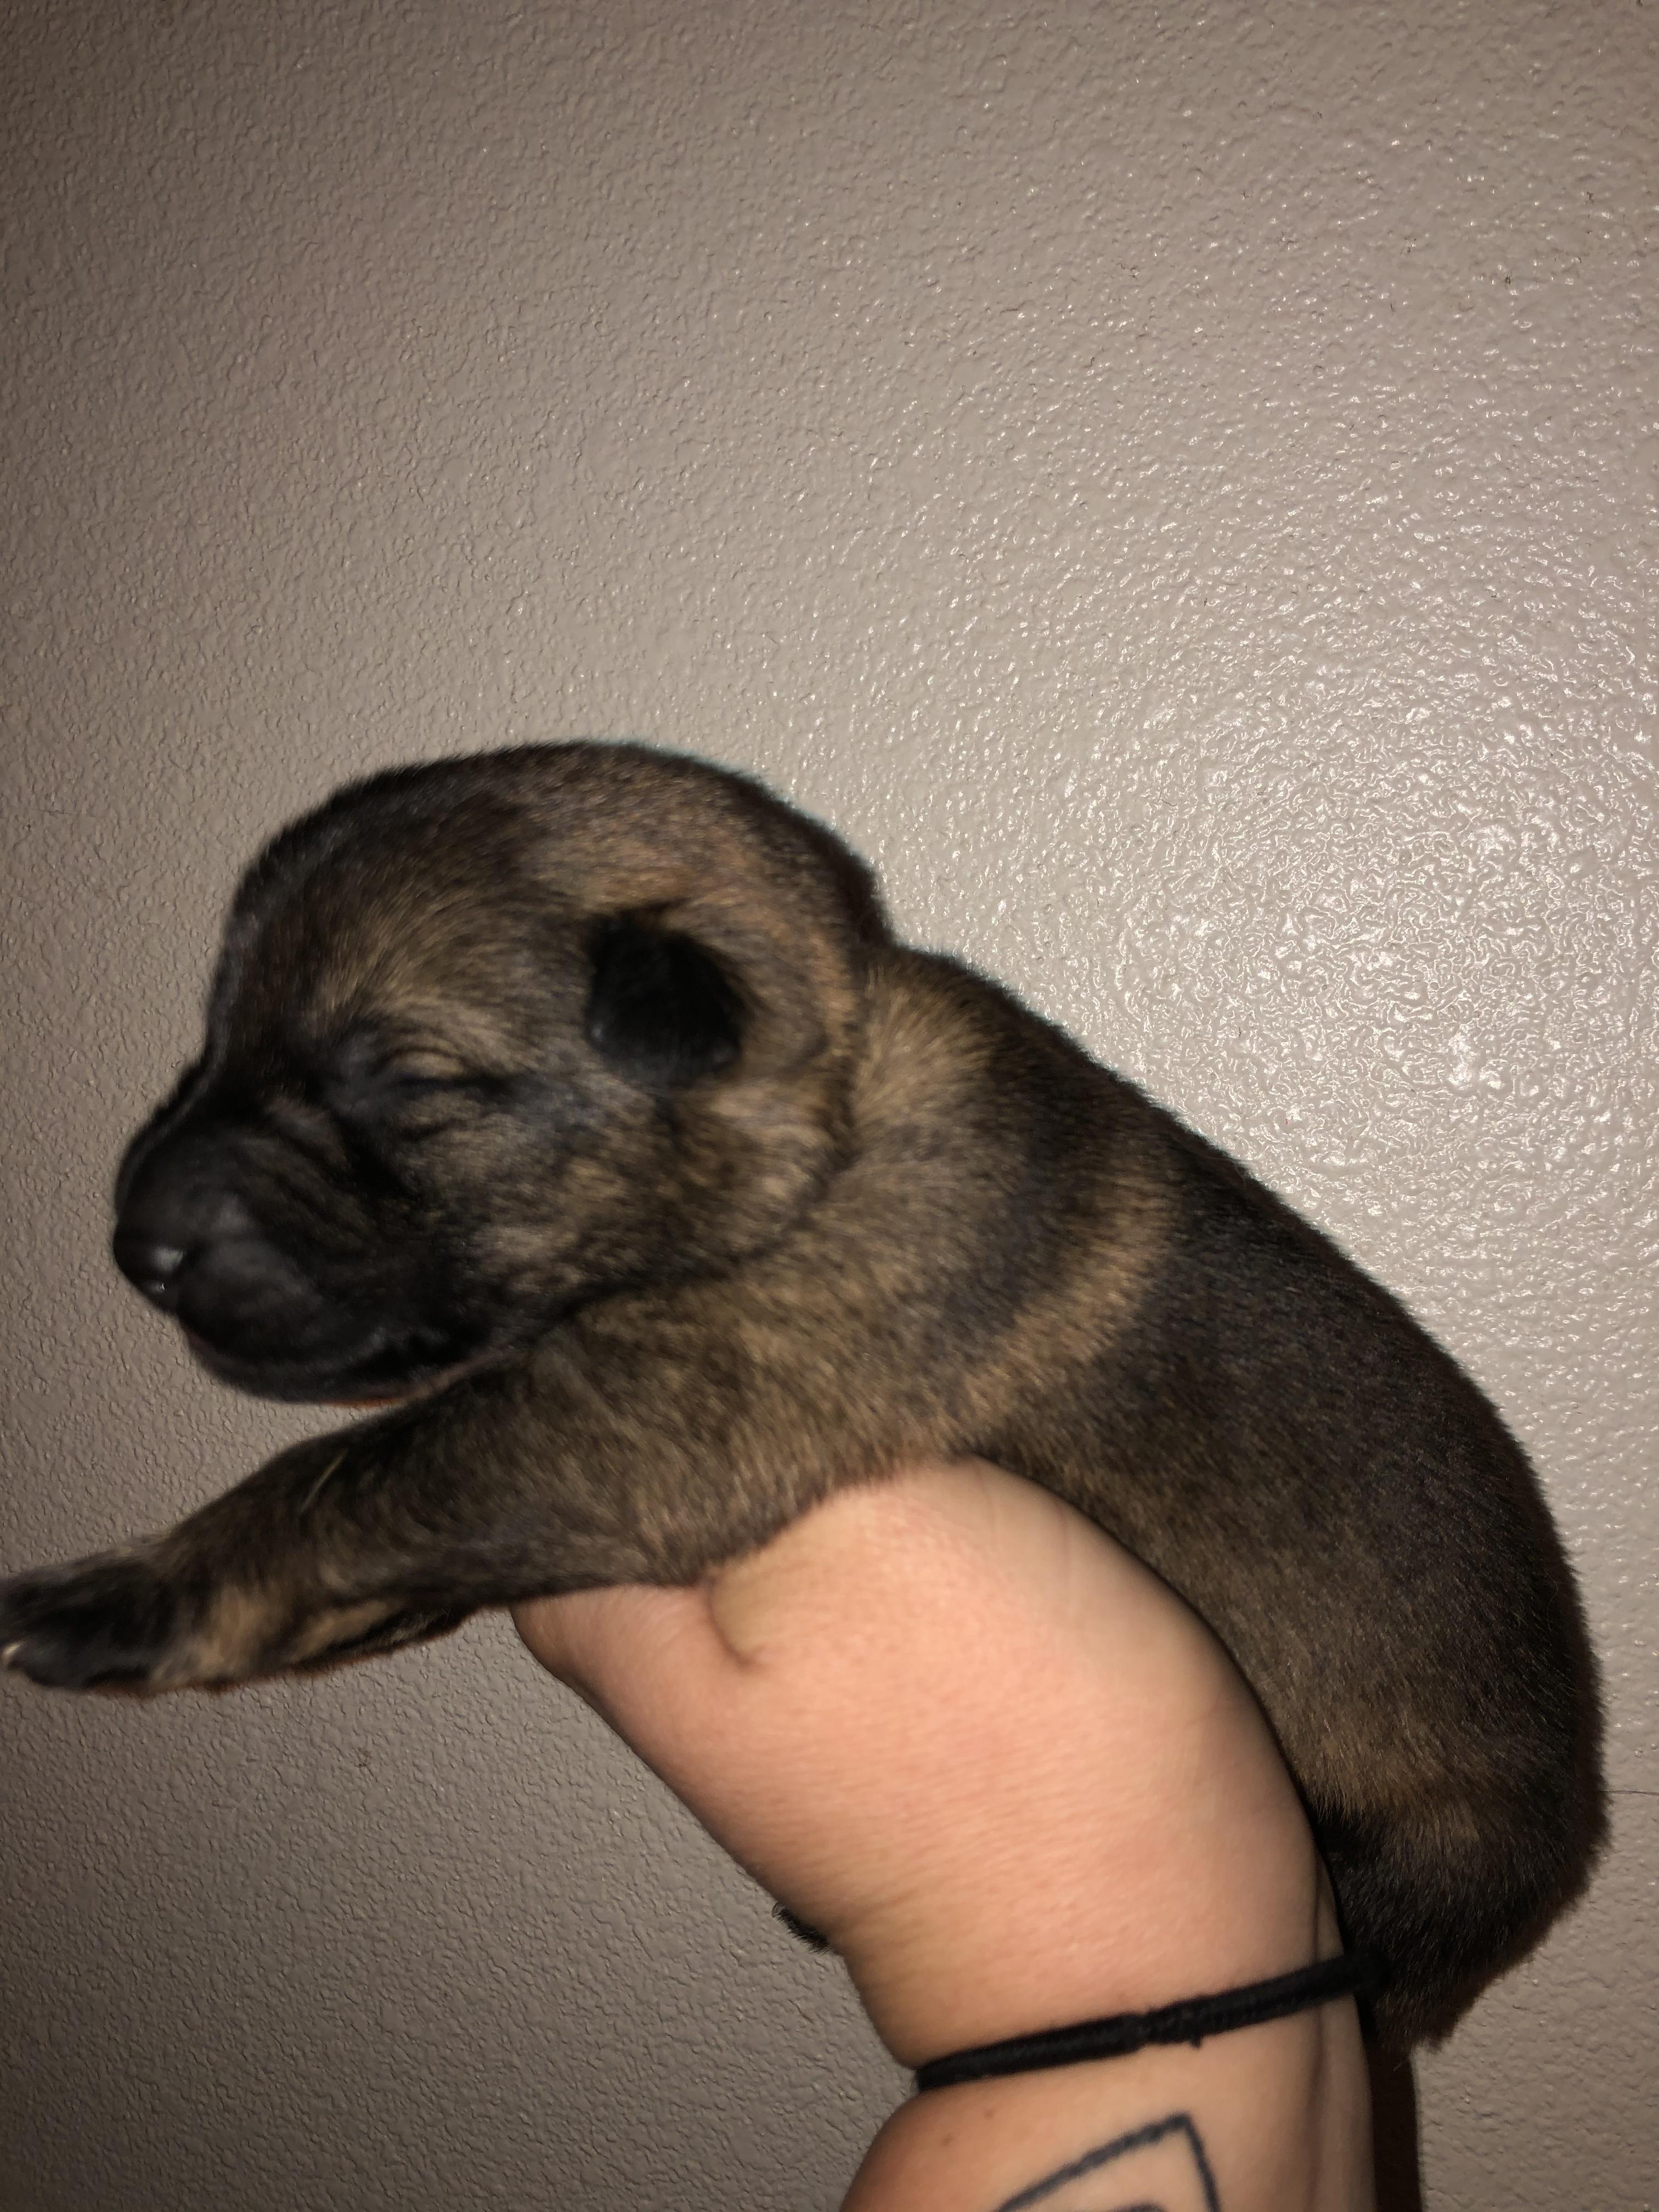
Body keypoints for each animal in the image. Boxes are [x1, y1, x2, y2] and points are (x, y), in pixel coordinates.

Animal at [0, 741, 1605, 2049]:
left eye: (412, 1079)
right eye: (212, 1038)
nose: (134, 1246)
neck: (819, 1124)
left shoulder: (657, 1421)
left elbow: (344, 1484)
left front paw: (133, 1593)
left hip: (1405, 1878)